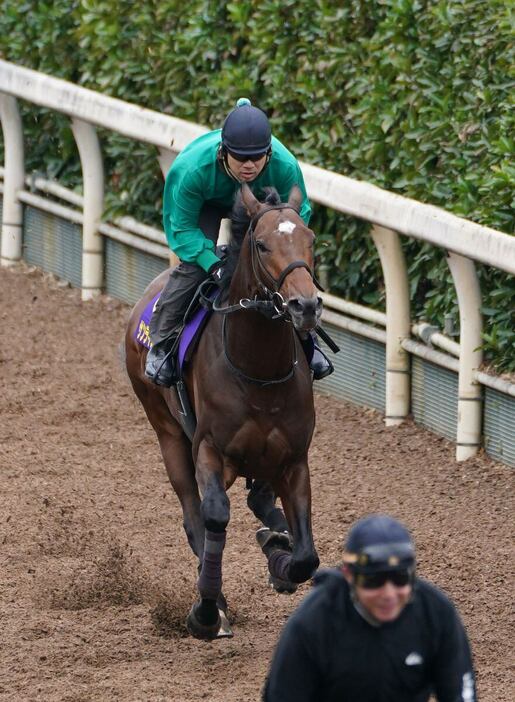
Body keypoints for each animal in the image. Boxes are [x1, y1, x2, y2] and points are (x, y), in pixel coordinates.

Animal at [124, 184, 320, 640]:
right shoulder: (211, 450)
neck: (259, 371)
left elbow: (305, 555)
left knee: (259, 499)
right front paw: (207, 612)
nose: (305, 305)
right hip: (166, 432)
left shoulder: (293, 458)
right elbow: (214, 516)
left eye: (310, 239)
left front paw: (279, 555)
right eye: (262, 244)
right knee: (194, 516)